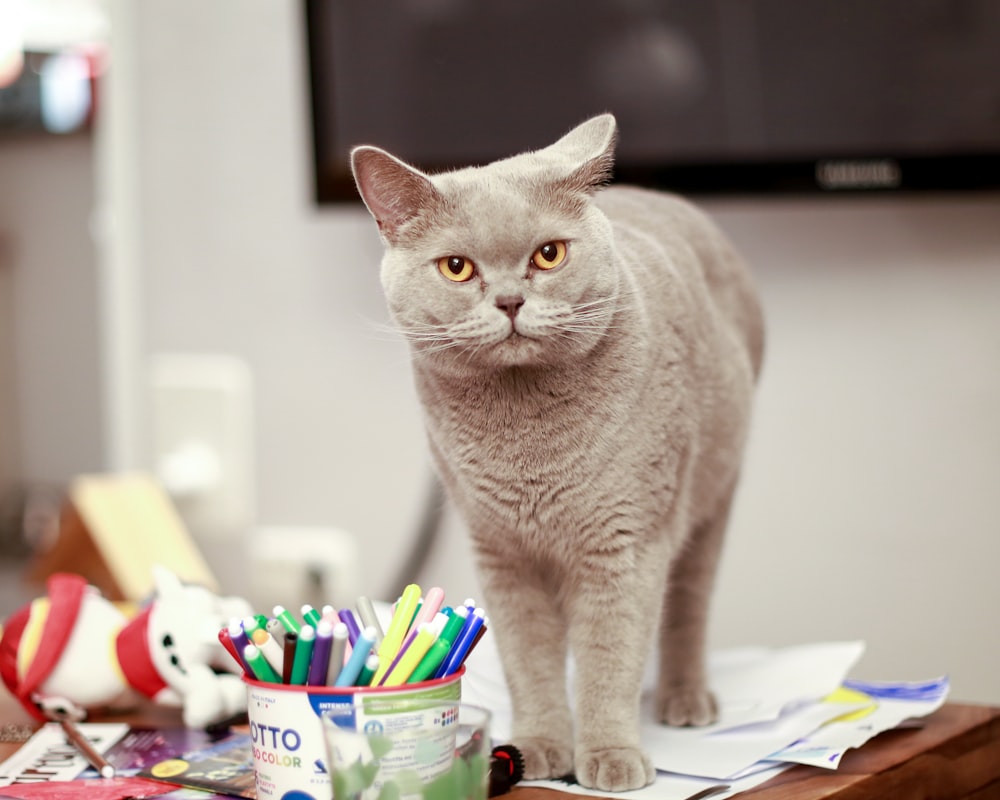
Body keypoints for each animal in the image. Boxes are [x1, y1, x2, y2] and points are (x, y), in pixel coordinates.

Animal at [352, 115, 764, 792]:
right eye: (457, 268)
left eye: (549, 255)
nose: (510, 301)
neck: (527, 443)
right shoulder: (501, 554)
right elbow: (529, 659)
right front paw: (540, 747)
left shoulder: (625, 544)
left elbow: (610, 656)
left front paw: (611, 757)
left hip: (713, 494)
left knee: (687, 605)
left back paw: (684, 701)